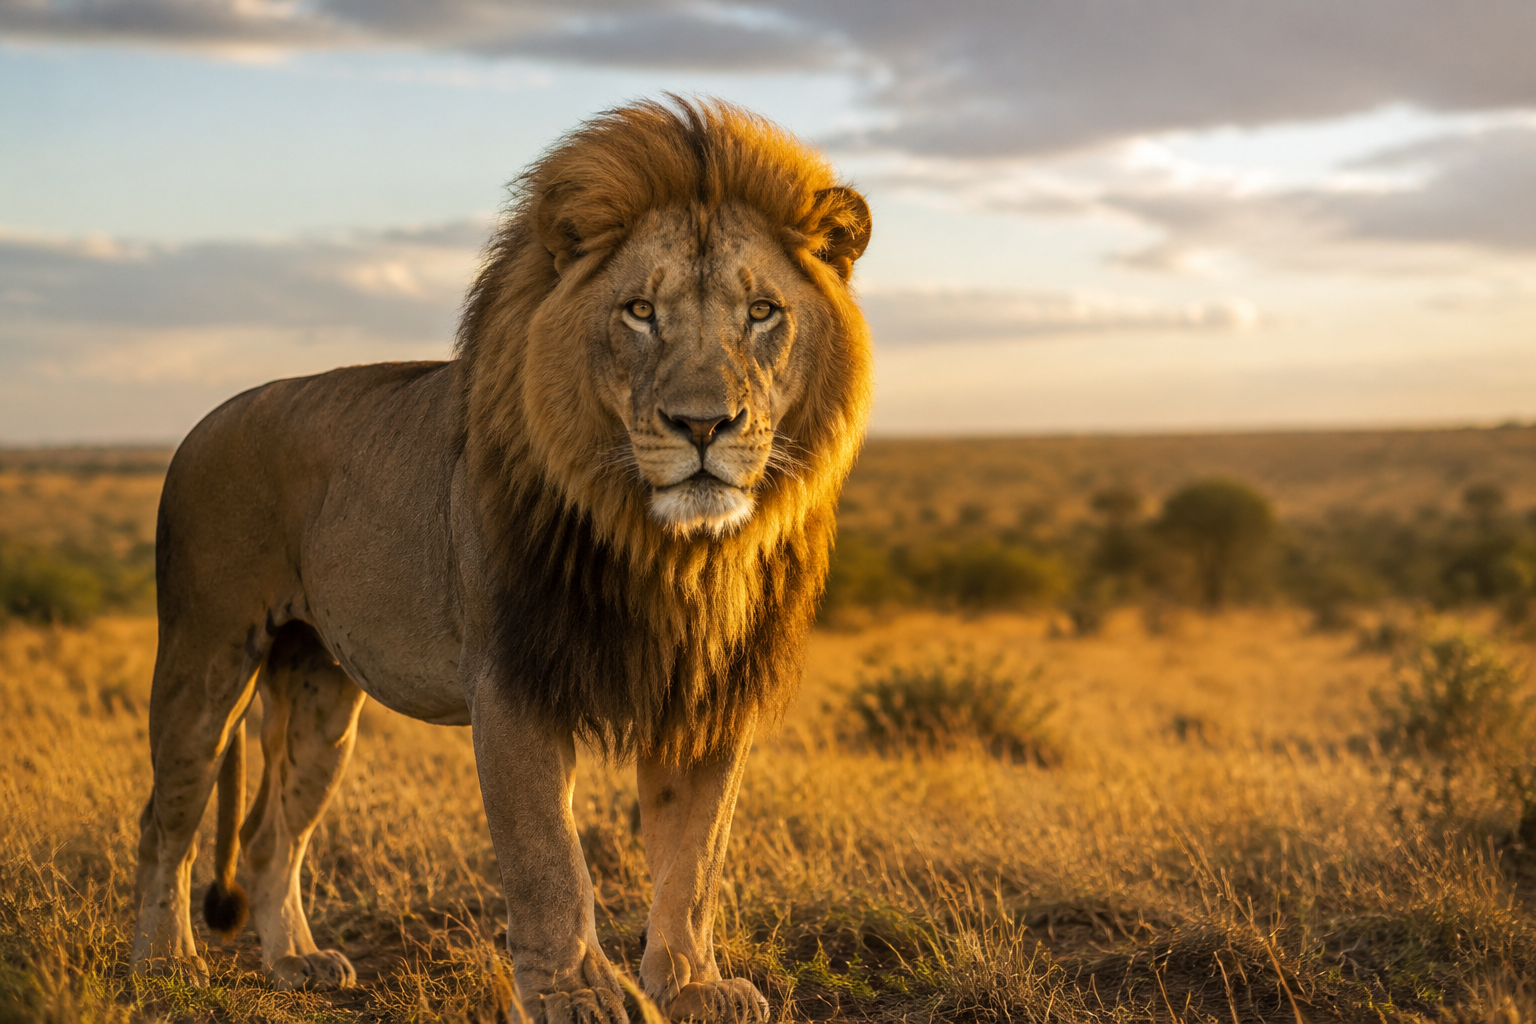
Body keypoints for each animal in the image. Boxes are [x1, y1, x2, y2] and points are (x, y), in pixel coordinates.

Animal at [130, 97, 873, 1024]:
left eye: (763, 312)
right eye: (639, 311)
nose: (703, 424)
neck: (667, 550)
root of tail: (206, 420)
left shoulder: (705, 694)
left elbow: (694, 857)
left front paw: (693, 984)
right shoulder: (514, 680)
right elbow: (547, 857)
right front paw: (577, 994)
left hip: (320, 694)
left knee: (273, 834)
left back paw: (296, 960)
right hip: (206, 654)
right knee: (166, 816)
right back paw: (165, 963)